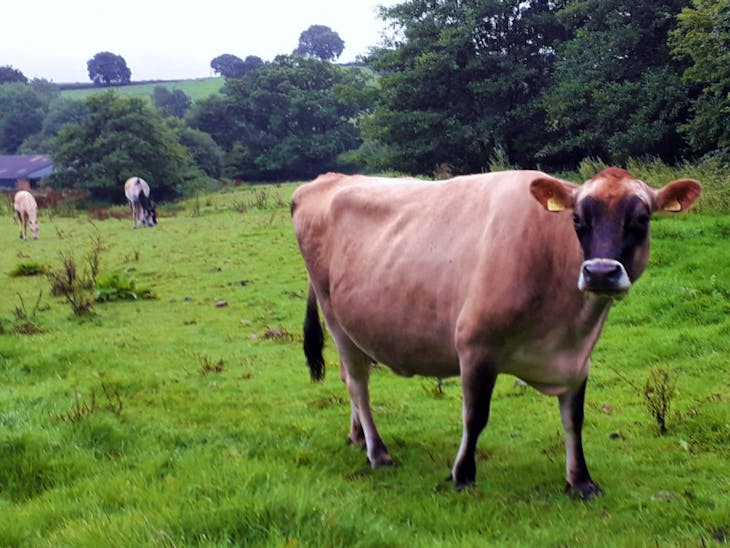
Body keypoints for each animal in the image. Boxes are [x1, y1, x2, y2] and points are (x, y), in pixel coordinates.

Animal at [291, 168, 701, 499]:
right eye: (577, 219)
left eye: (642, 218)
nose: (600, 272)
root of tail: (326, 180)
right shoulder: (475, 345)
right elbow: (475, 415)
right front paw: (462, 475)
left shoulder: (578, 359)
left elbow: (574, 419)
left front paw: (581, 481)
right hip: (334, 314)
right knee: (357, 384)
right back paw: (378, 452)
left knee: (348, 380)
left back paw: (357, 437)